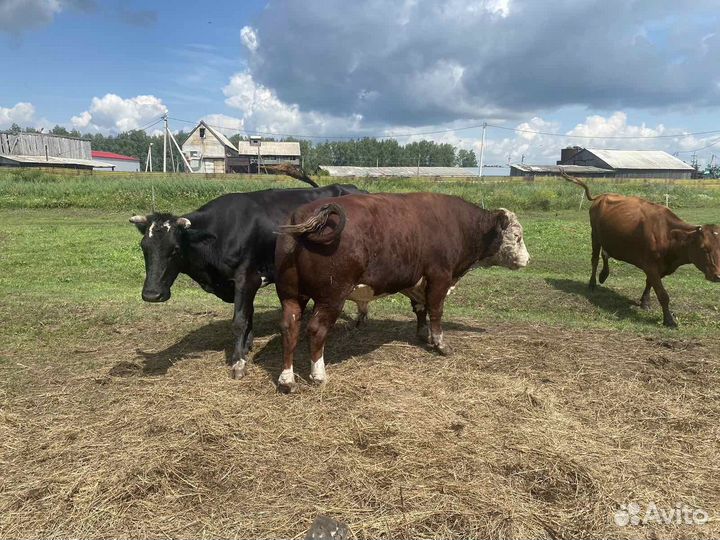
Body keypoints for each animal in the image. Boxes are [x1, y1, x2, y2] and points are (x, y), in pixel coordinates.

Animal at [129, 182, 363, 378]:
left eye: (175, 249)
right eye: (144, 247)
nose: (152, 294)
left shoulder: (246, 278)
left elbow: (239, 320)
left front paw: (239, 362)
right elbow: (248, 315)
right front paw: (247, 345)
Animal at [274, 192, 530, 392]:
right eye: (517, 237)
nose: (528, 259)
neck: (459, 225)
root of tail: (305, 214)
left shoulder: (416, 282)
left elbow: (421, 309)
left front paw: (423, 333)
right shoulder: (440, 277)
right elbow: (436, 311)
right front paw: (440, 344)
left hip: (291, 295)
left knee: (289, 327)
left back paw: (287, 379)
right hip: (332, 296)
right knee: (316, 330)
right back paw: (319, 375)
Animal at [561, 170, 720, 327]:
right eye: (704, 248)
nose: (718, 276)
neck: (668, 236)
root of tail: (601, 196)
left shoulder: (657, 267)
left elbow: (649, 283)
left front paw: (645, 302)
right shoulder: (650, 265)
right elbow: (663, 294)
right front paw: (669, 320)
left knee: (605, 254)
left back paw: (604, 275)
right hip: (595, 235)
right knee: (594, 259)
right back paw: (592, 283)